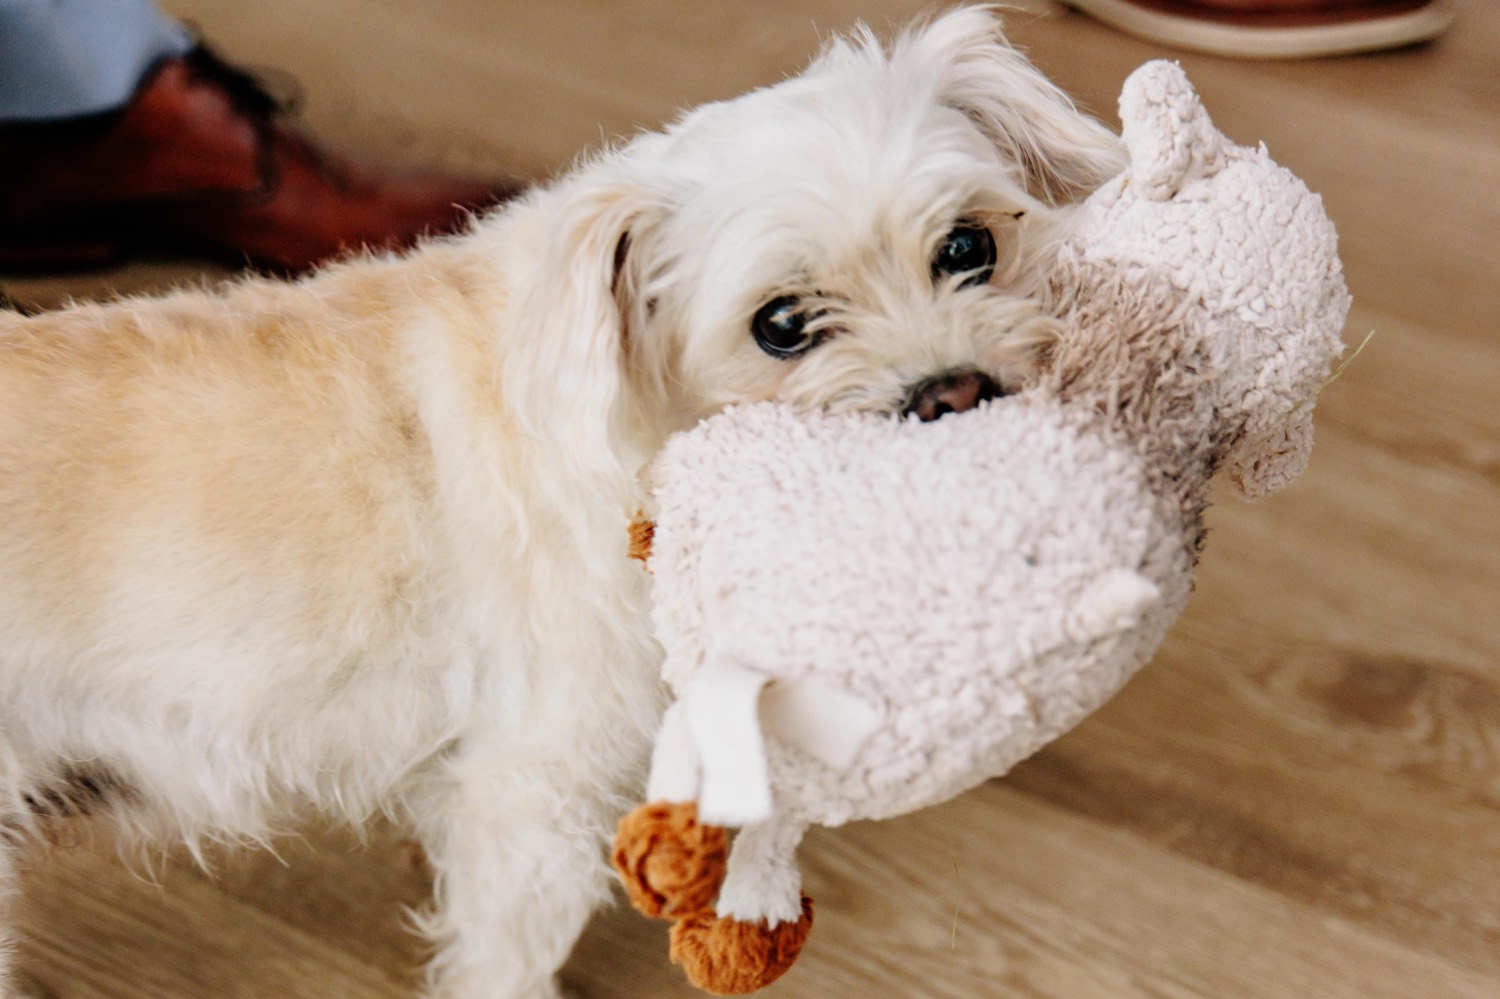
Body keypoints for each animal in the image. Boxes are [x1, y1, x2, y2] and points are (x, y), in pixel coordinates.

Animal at [0, 9, 1122, 996]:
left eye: (968, 247)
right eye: (781, 325)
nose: (956, 393)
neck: (640, 431)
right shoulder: (536, 792)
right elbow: (507, 953)